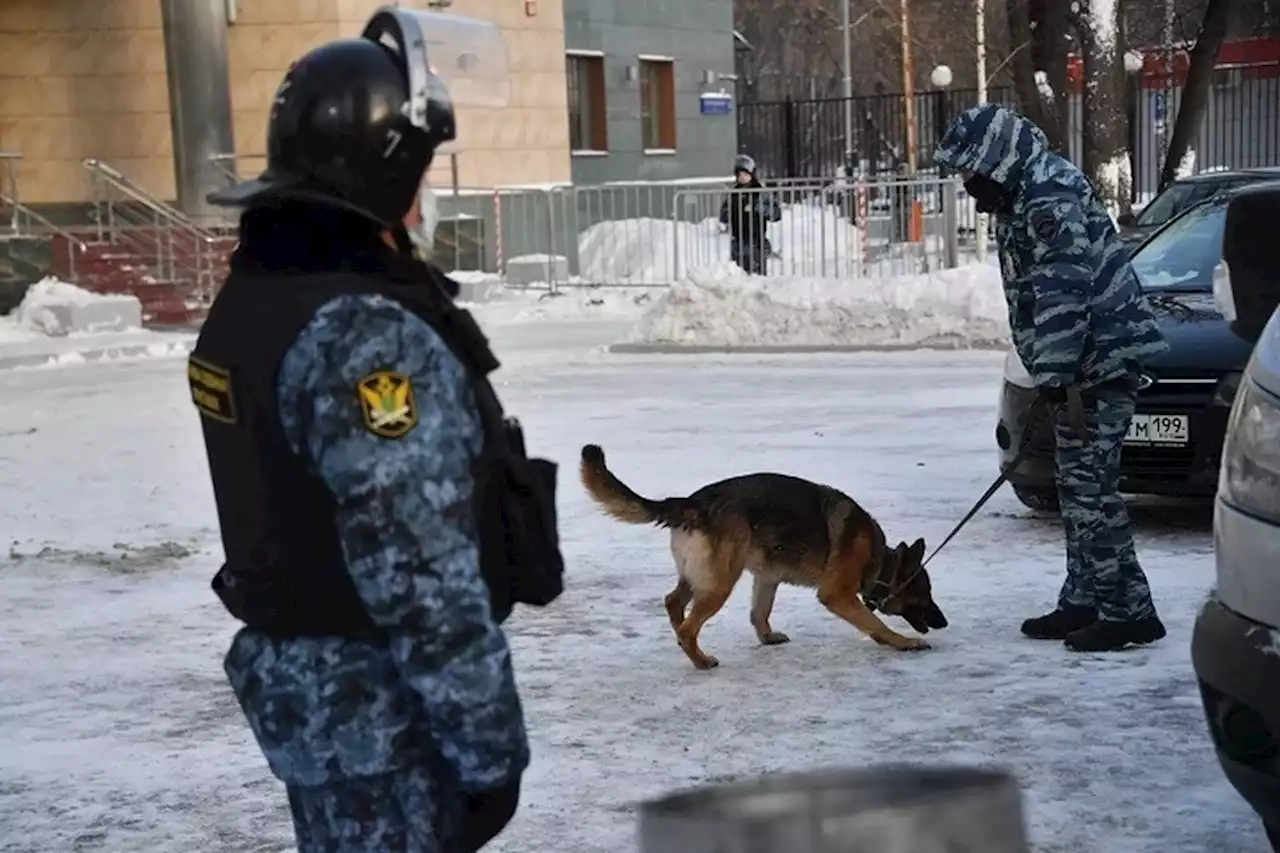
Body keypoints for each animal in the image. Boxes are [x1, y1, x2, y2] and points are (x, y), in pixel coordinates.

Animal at [583, 440, 952, 666]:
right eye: (926, 593)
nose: (943, 621)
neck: (879, 561)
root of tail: (694, 502)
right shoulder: (836, 594)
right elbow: (874, 621)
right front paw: (901, 642)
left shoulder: (767, 578)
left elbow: (759, 613)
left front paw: (767, 637)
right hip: (720, 582)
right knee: (689, 624)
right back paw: (701, 660)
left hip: (700, 576)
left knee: (674, 602)